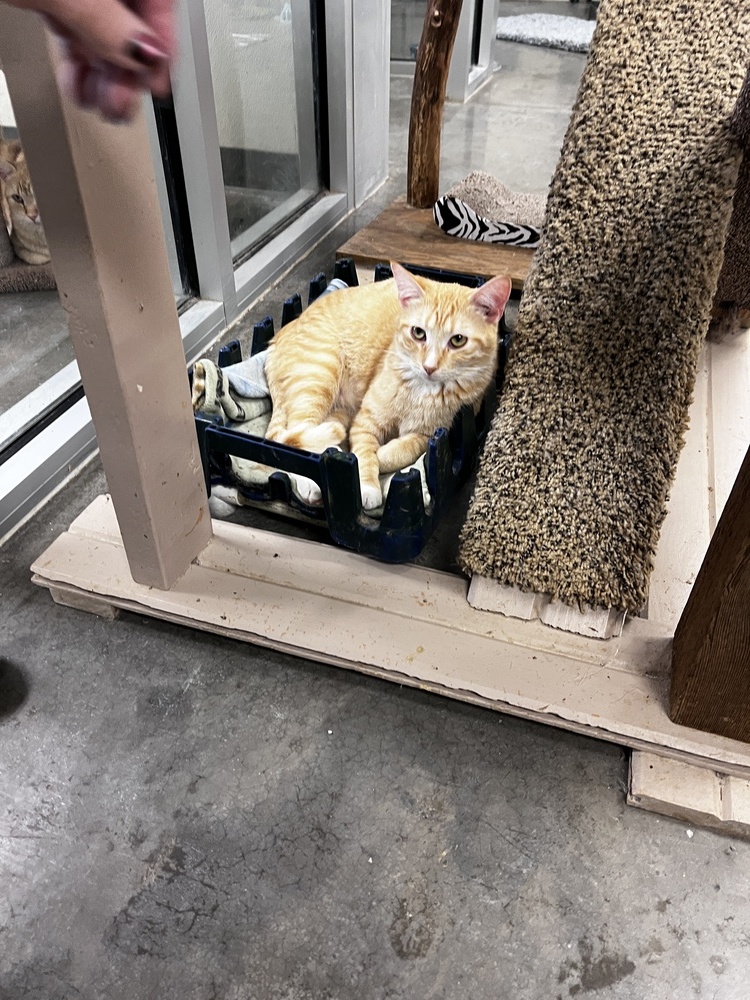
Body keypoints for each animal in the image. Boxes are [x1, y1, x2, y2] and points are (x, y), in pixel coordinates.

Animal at [262, 262, 512, 508]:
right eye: (418, 333)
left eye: (458, 340)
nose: (429, 367)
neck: (422, 392)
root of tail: (275, 339)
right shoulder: (365, 422)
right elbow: (362, 455)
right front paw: (368, 485)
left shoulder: (434, 435)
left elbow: (405, 449)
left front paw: (382, 456)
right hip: (318, 378)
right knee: (293, 440)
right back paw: (310, 482)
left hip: (340, 410)